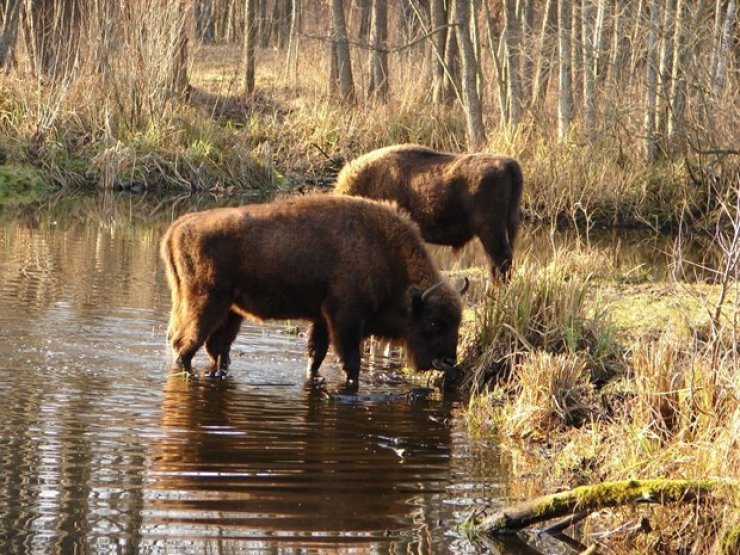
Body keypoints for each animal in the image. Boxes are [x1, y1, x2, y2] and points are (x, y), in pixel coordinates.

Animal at [160, 195, 468, 390]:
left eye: (457, 322)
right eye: (434, 322)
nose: (449, 361)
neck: (380, 250)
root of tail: (177, 227)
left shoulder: (321, 319)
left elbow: (315, 355)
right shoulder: (345, 320)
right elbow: (350, 361)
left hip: (230, 311)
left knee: (217, 349)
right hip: (204, 304)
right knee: (185, 345)